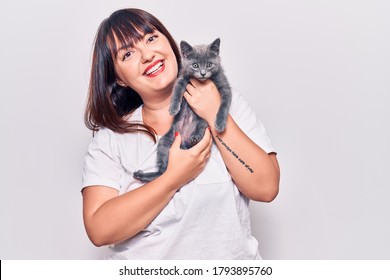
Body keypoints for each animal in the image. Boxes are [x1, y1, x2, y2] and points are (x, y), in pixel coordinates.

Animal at [134, 38, 232, 183]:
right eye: (195, 65)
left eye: (209, 64)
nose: (203, 73)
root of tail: (184, 142)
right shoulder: (182, 78)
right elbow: (176, 91)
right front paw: (174, 108)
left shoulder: (224, 86)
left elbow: (224, 105)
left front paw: (220, 124)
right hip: (165, 141)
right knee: (163, 172)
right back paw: (142, 175)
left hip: (202, 125)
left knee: (200, 131)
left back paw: (195, 138)